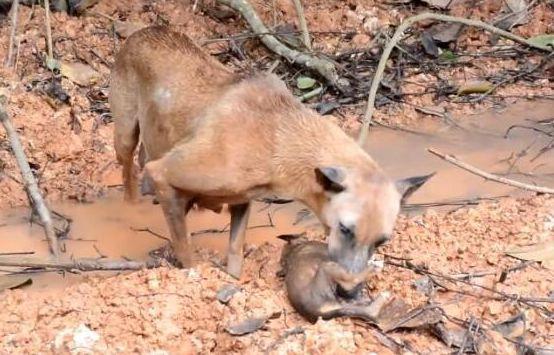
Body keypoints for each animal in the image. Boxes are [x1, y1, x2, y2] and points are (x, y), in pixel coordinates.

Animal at [109, 26, 432, 280]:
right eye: (345, 229)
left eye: (382, 241)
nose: (348, 289)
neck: (280, 139)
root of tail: (143, 31)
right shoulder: (165, 174)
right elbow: (186, 254)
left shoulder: (241, 202)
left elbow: (235, 253)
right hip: (125, 135)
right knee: (128, 172)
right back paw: (132, 204)